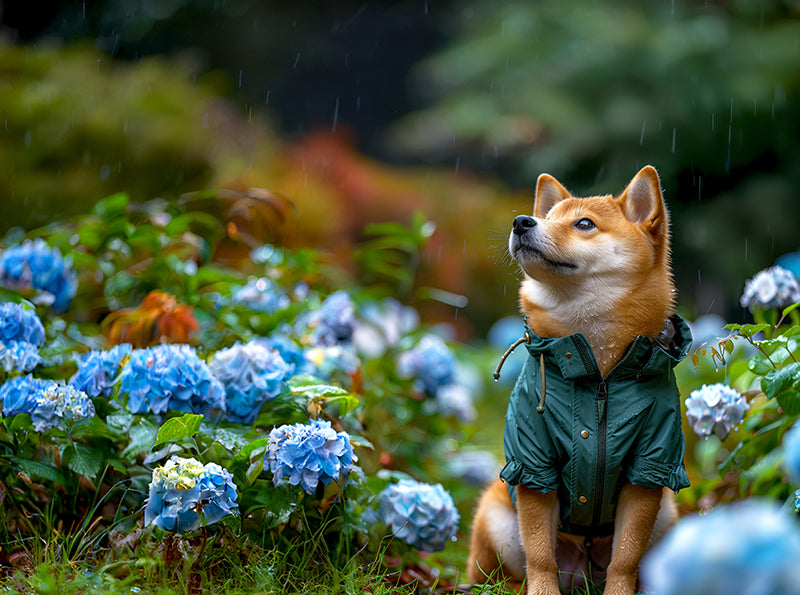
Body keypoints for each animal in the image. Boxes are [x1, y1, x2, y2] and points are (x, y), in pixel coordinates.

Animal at [468, 165, 692, 592]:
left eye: (584, 224)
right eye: (548, 217)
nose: (521, 221)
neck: (598, 372)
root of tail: (582, 570)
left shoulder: (650, 467)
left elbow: (626, 557)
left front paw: (621, 590)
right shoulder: (533, 465)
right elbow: (540, 555)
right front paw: (542, 591)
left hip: (667, 517)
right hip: (496, 519)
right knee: (503, 572)